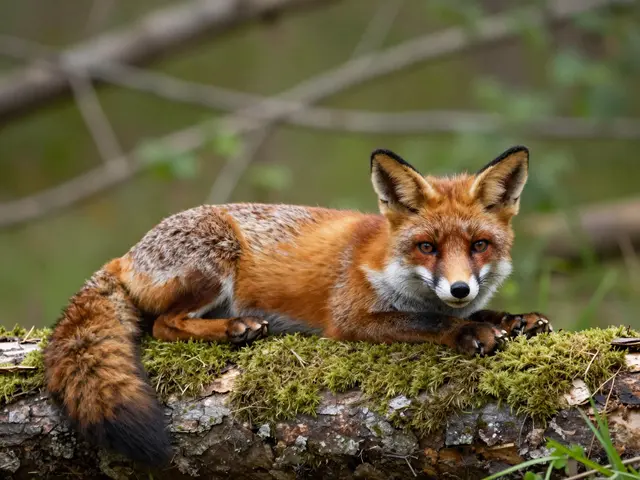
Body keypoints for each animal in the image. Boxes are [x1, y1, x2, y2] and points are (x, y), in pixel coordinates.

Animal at [43, 145, 552, 466]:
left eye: (479, 245)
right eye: (427, 247)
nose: (460, 289)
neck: (388, 263)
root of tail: (127, 255)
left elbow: (473, 314)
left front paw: (515, 319)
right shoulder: (351, 318)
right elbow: (425, 321)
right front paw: (467, 331)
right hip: (214, 263)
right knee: (163, 326)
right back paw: (237, 329)